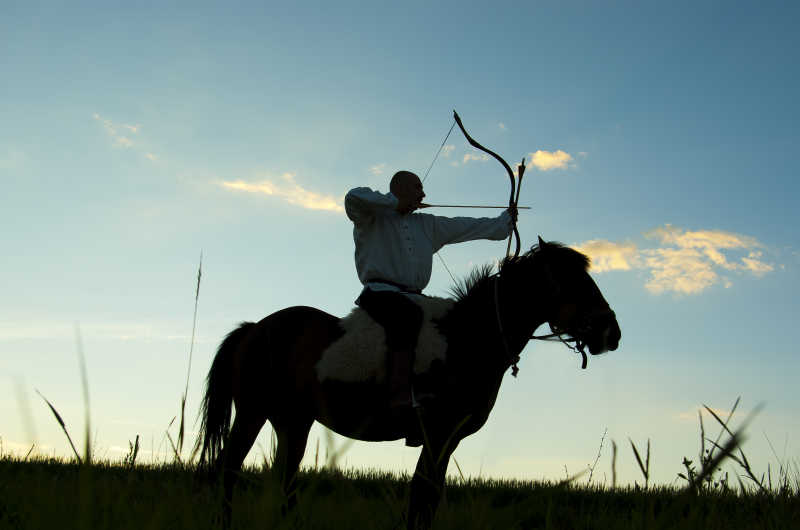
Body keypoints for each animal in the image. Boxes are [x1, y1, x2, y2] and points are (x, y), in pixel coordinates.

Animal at [194, 237, 620, 524]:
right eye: (576, 282)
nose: (611, 332)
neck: (468, 338)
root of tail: (254, 329)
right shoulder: (436, 434)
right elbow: (421, 496)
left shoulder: (447, 439)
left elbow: (427, 497)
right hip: (252, 413)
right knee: (227, 472)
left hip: (293, 421)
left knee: (284, 478)